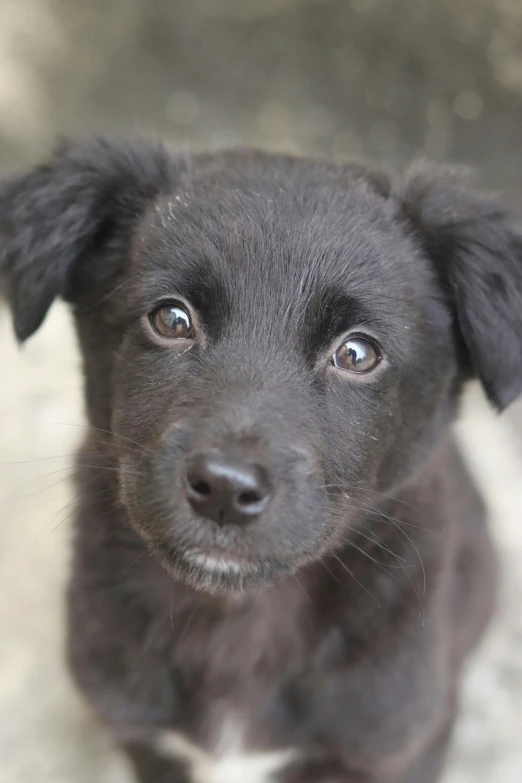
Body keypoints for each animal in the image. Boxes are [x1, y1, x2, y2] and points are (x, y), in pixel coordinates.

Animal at [2, 136, 516, 783]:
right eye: (171, 319)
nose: (225, 488)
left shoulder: (393, 748)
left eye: (356, 353)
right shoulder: (147, 740)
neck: (238, 615)